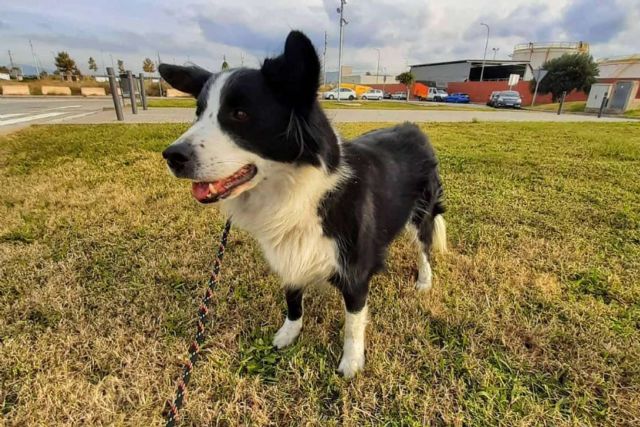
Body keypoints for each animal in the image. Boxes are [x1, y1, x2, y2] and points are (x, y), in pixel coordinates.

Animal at [159, 30, 444, 378]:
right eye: (198, 113)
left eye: (239, 114)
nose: (172, 156)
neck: (298, 190)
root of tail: (411, 127)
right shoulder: (289, 254)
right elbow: (292, 300)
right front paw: (288, 333)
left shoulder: (354, 272)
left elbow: (353, 324)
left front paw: (351, 362)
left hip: (422, 214)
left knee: (424, 248)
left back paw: (424, 280)